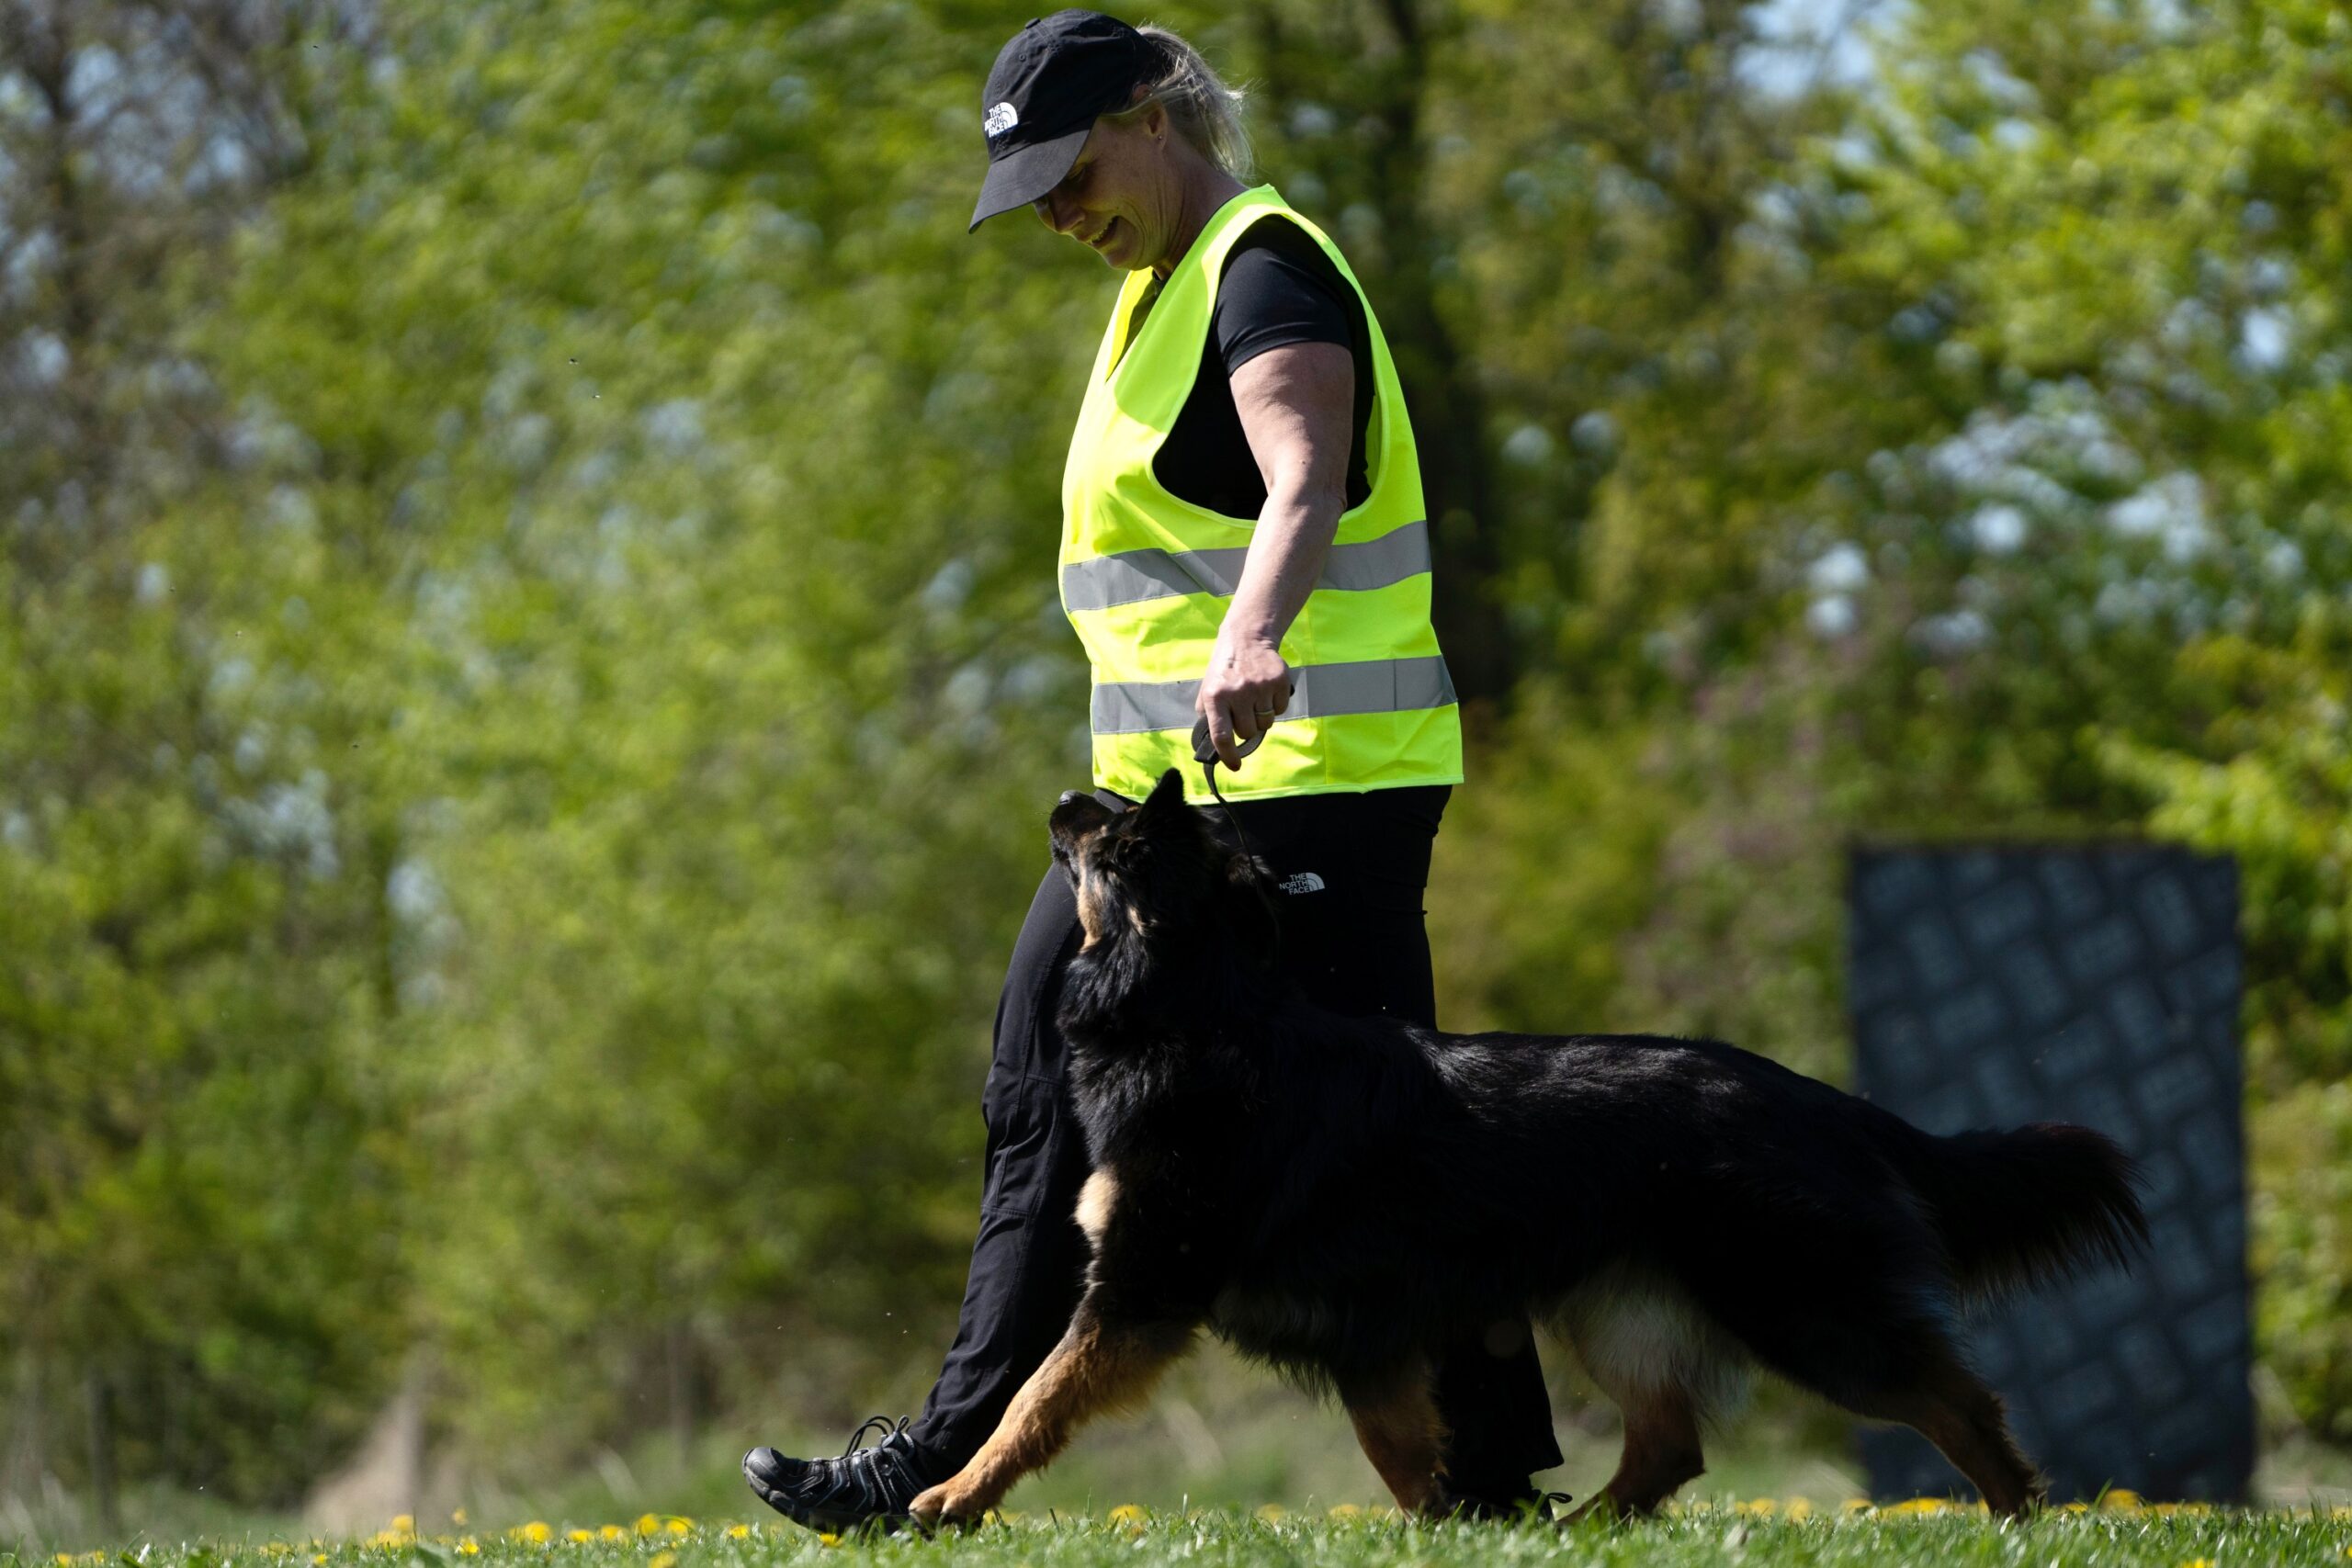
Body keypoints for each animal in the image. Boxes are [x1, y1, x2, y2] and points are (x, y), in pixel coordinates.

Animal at [903, 771, 2154, 1532]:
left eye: (1109, 835)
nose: (1065, 794)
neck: (1198, 1008)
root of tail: (1823, 1100)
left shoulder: (1140, 1292)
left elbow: (1032, 1399)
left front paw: (951, 1496)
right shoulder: (1368, 1337)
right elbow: (1405, 1455)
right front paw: (1445, 1533)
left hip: (1800, 1307)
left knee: (1961, 1402)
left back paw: (2017, 1520)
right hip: (1618, 1307)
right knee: (1669, 1450)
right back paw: (1584, 1533)